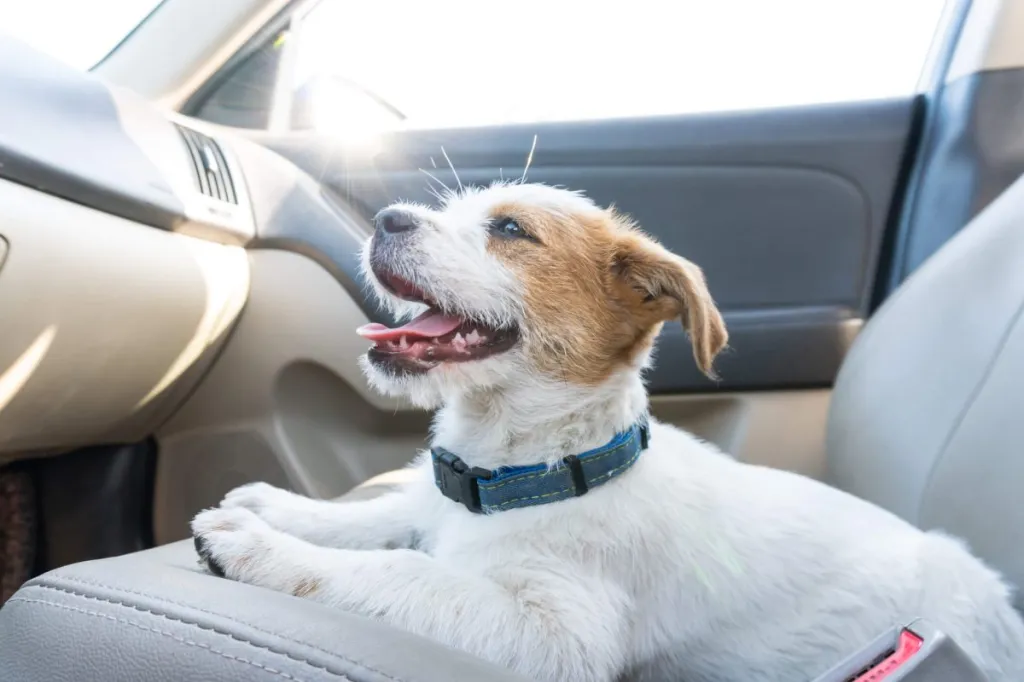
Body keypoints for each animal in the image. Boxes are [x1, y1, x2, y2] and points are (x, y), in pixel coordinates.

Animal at [192, 182, 1024, 679]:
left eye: (509, 229)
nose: (383, 218)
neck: (530, 470)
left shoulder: (554, 636)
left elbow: (404, 571)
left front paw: (260, 547)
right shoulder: (432, 503)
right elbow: (379, 517)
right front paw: (277, 510)